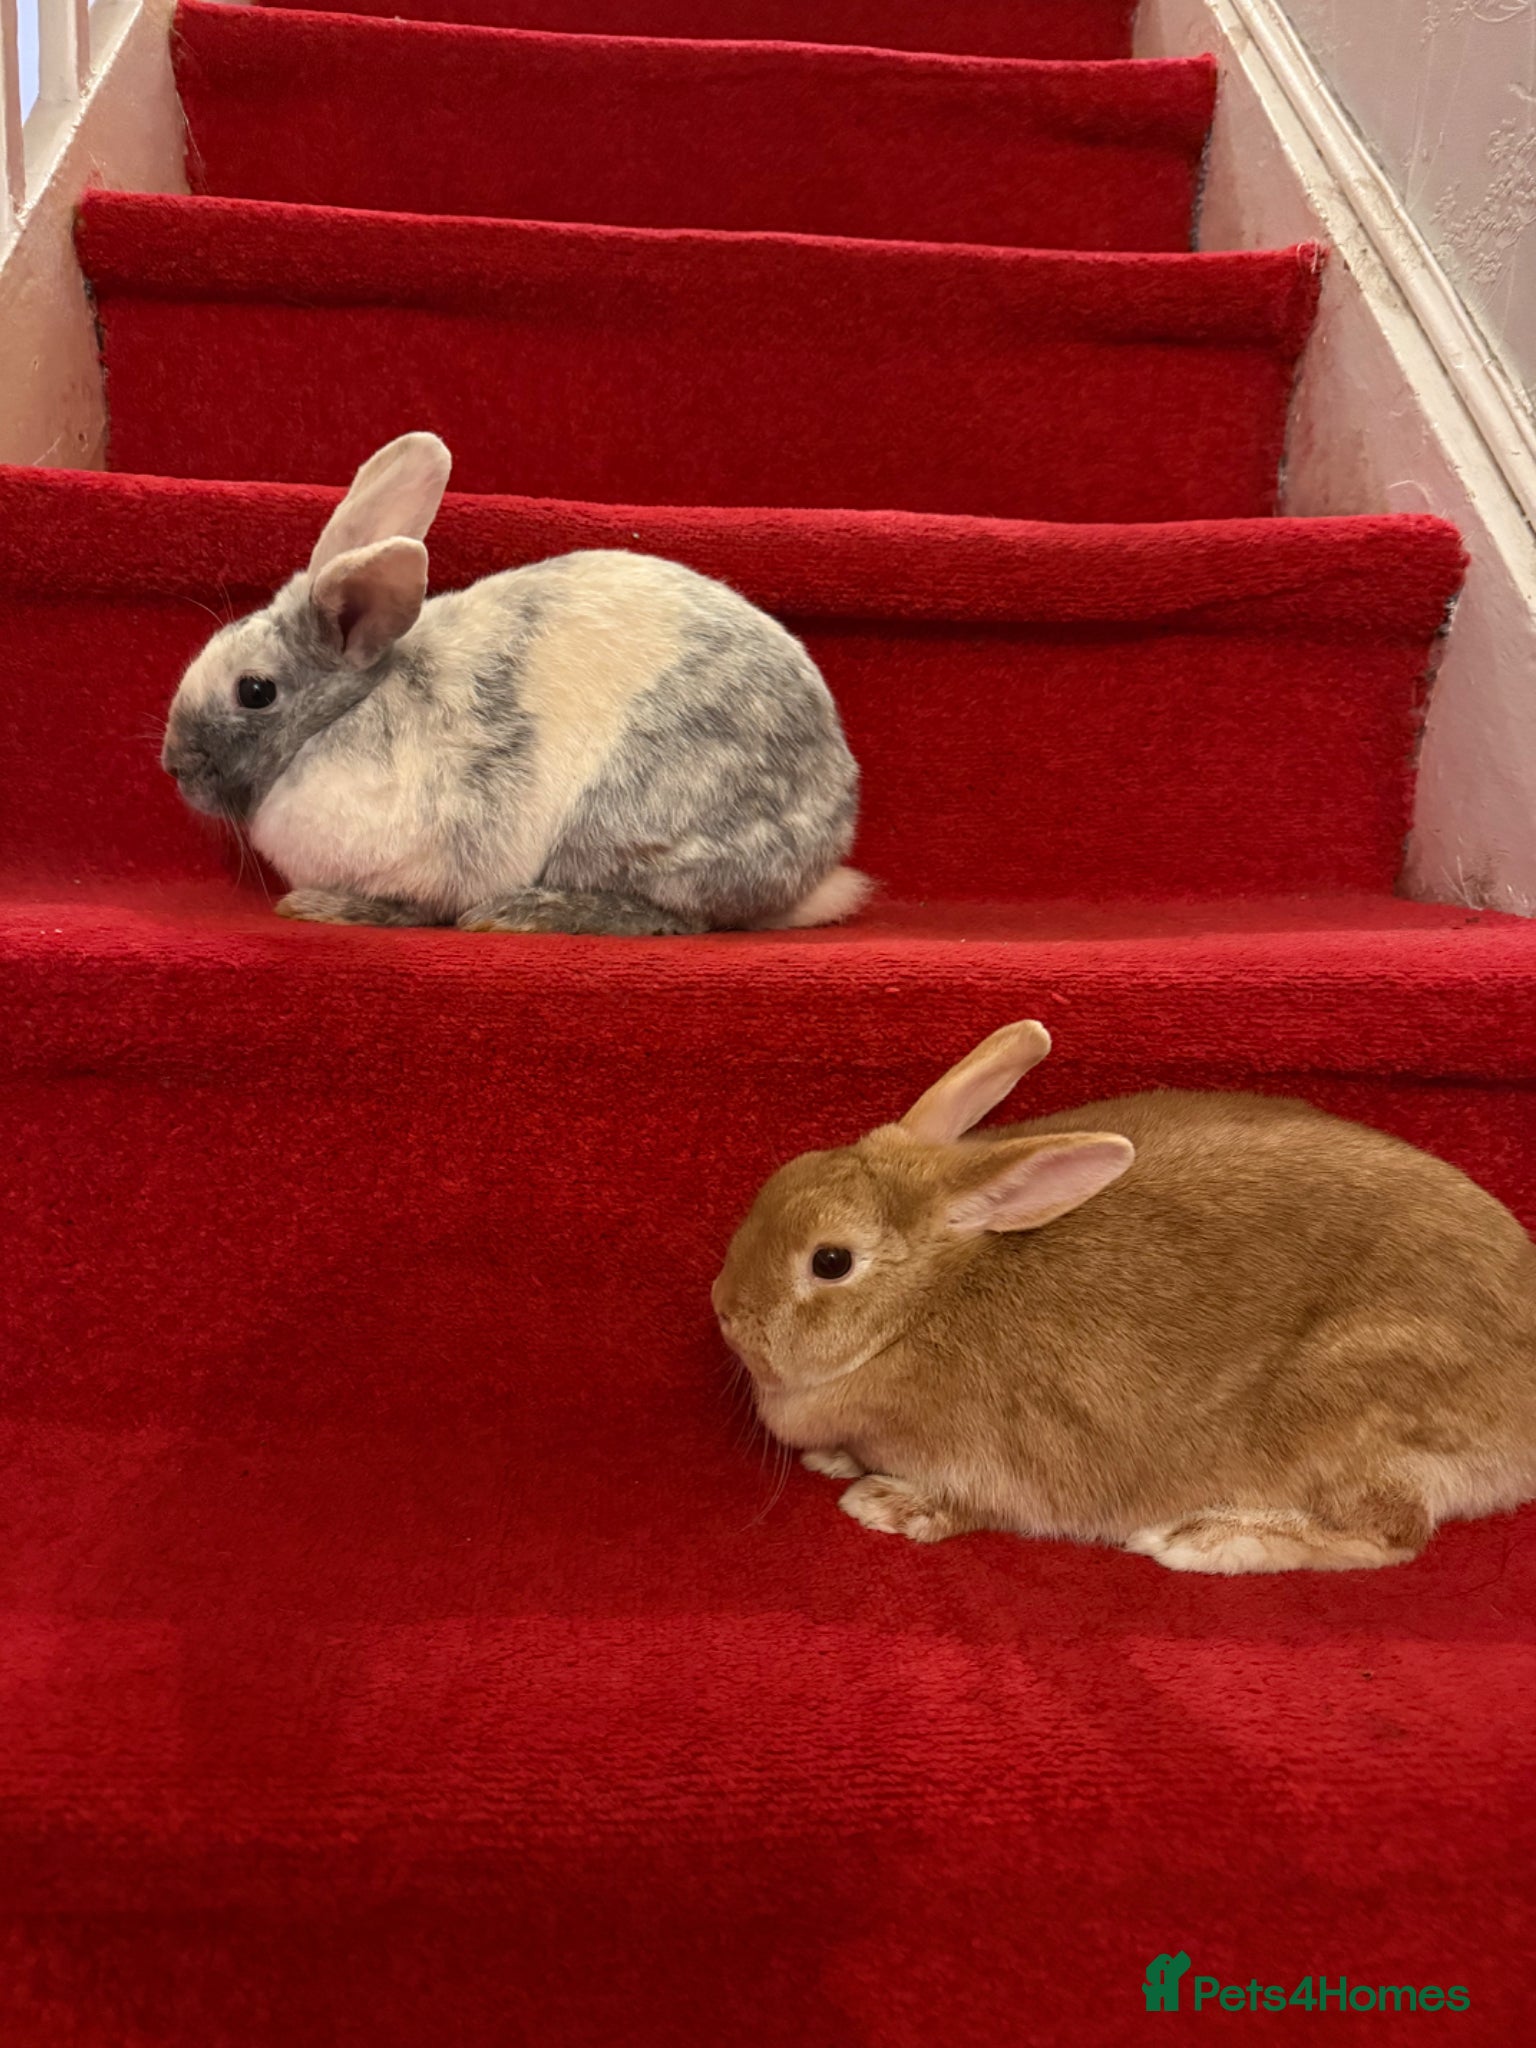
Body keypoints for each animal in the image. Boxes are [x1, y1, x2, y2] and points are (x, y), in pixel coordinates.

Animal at [161, 432, 871, 936]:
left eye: (255, 691)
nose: (174, 767)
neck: (344, 715)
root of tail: (818, 858)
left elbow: (410, 905)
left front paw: (323, 906)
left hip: (634, 825)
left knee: (679, 914)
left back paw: (524, 914)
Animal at [712, 1020, 1536, 1574]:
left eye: (830, 1262)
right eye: (783, 1176)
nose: (724, 1308)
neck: (916, 1311)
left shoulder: (990, 1460)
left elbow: (964, 1503)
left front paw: (883, 1503)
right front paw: (835, 1461)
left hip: (1352, 1402)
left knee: (1391, 1532)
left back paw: (1202, 1538)